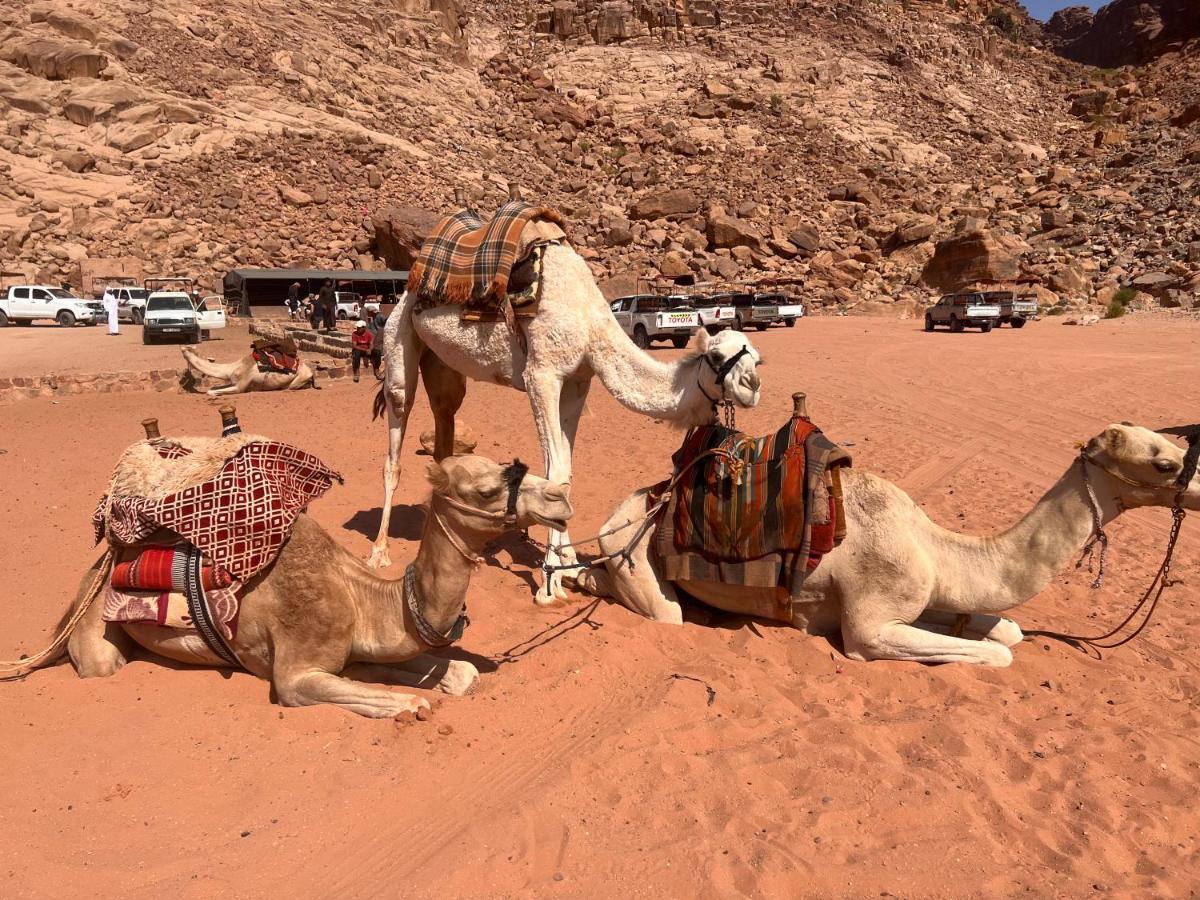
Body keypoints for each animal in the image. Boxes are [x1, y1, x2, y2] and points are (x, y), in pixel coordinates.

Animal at [58, 458, 573, 720]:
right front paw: (411, 704)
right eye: (487, 490)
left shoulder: (359, 648)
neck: (363, 599)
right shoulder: (294, 671)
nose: (561, 498)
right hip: (95, 627)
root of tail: (102, 563)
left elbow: (460, 674)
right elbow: (400, 696)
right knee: (102, 662)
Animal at [180, 345, 316, 393]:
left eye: (187, 349)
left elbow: (211, 391)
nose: (181, 347)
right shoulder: (233, 382)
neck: (231, 368)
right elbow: (213, 388)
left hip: (299, 379)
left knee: (293, 386)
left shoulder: (240, 387)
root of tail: (311, 371)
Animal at [576, 424, 1195, 672]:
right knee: (662, 609)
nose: (1198, 487)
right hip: (636, 557)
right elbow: (998, 653)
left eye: (1179, 448)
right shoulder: (870, 627)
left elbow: (1008, 630)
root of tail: (625, 510)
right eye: (1164, 462)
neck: (936, 548)